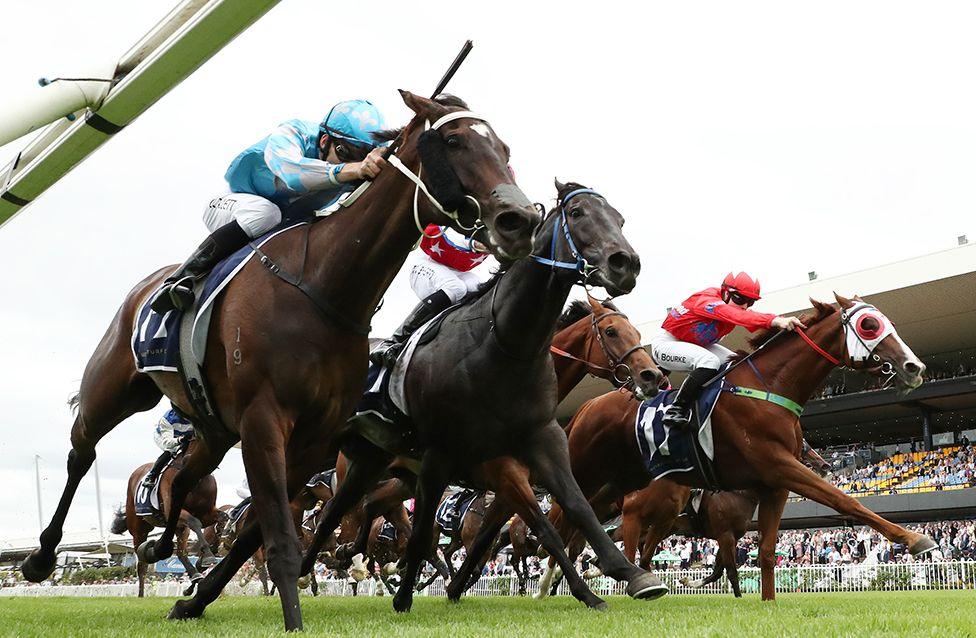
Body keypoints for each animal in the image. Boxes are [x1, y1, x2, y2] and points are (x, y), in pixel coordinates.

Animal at [21, 92, 540, 632]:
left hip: (214, 428)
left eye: (504, 147)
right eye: (455, 141)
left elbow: (260, 531)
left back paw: (159, 547)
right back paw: (40, 557)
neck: (325, 288)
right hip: (115, 387)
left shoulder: (312, 439)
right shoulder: (264, 418)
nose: (520, 220)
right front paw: (291, 619)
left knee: (181, 478)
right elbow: (278, 536)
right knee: (82, 450)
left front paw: (194, 600)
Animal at [544, 298, 936, 604]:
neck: (769, 387)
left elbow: (764, 553)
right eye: (869, 325)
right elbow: (844, 500)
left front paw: (767, 602)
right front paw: (915, 539)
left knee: (583, 524)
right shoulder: (779, 466)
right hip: (589, 474)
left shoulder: (773, 487)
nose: (914, 366)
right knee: (563, 519)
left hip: (618, 484)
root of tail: (587, 405)